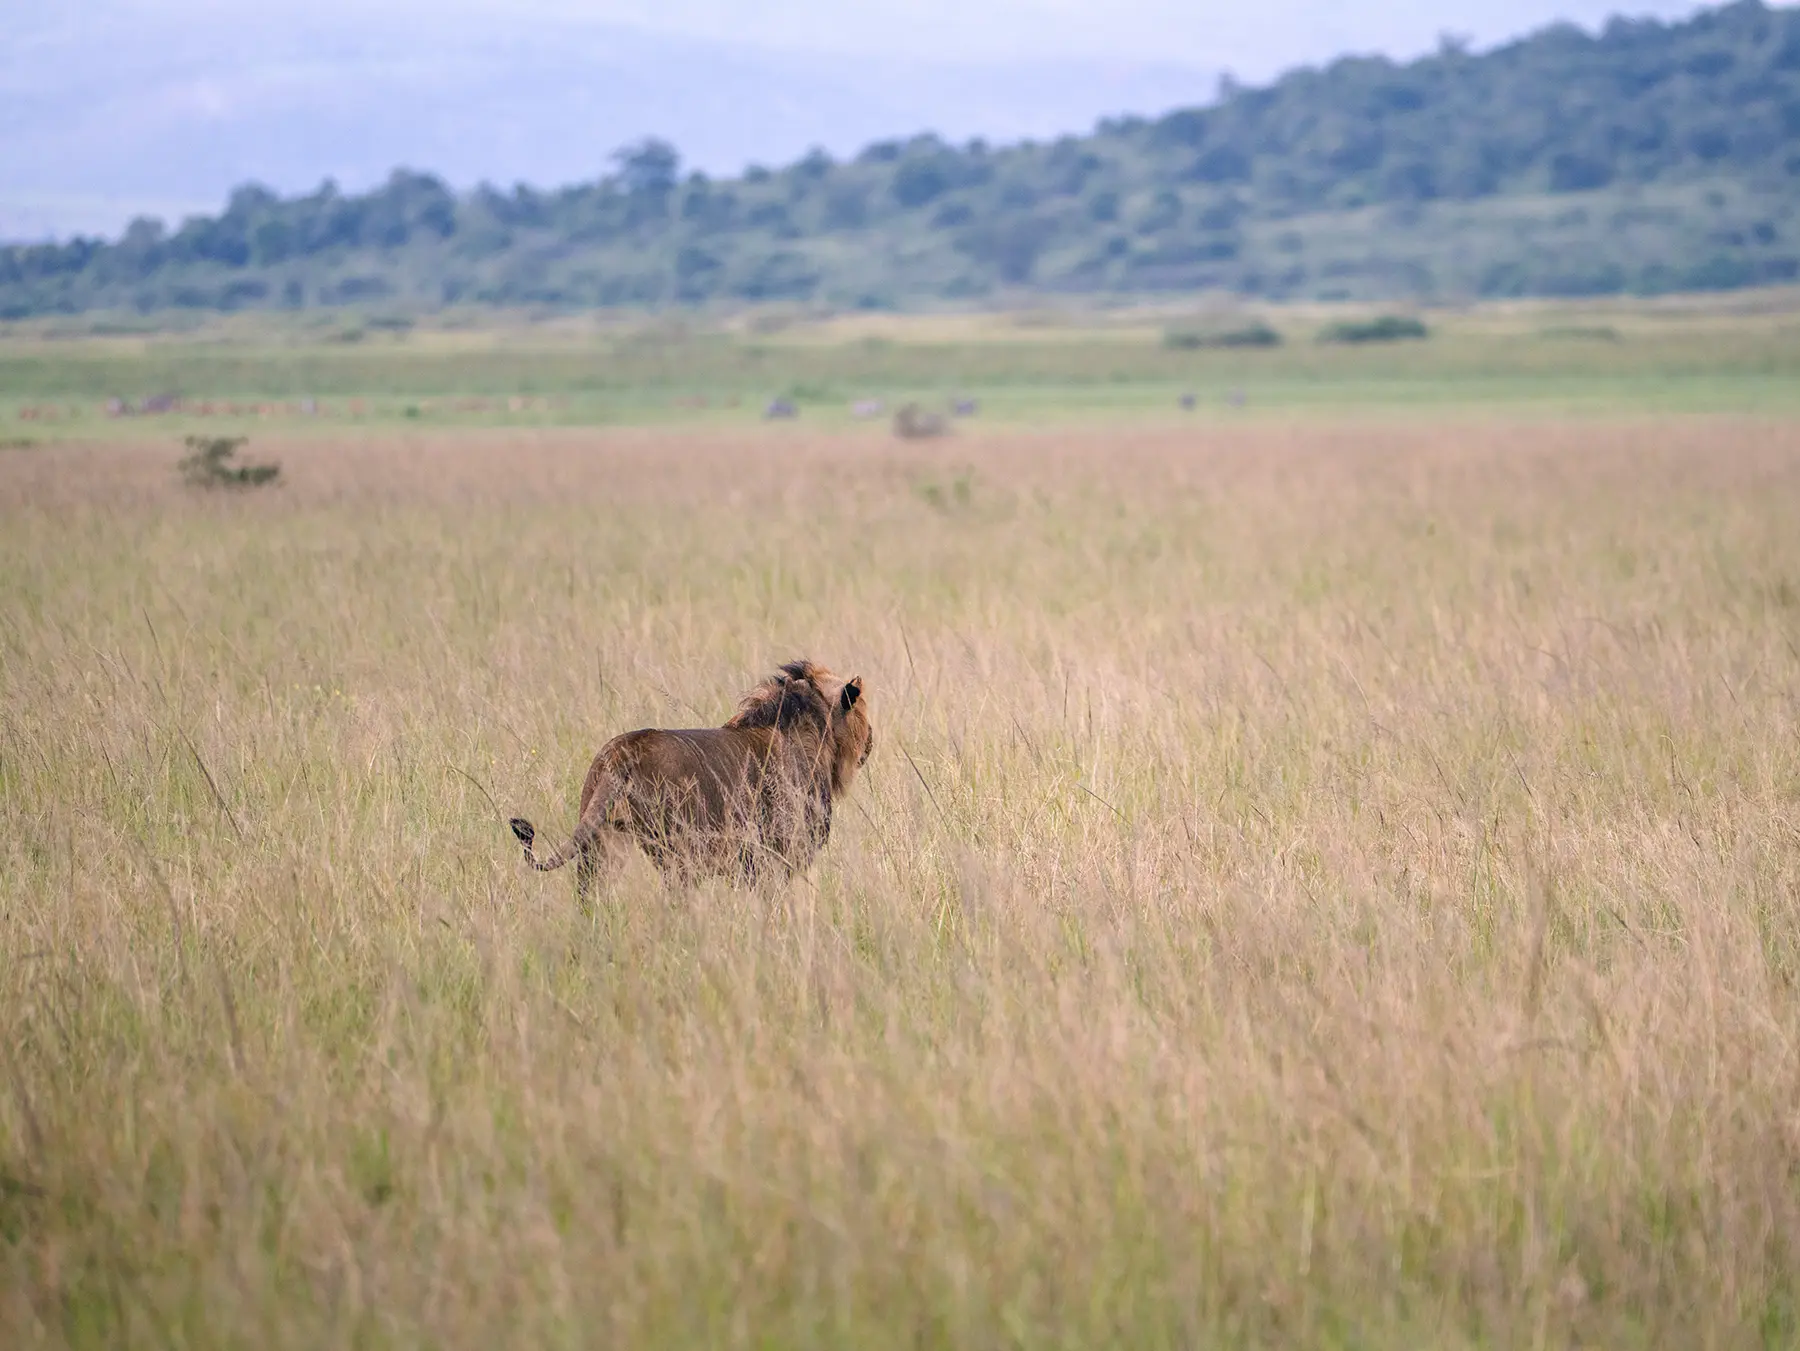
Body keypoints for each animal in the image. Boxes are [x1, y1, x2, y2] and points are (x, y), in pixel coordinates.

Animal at [509, 660, 873, 899]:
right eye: (862, 709)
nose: (871, 740)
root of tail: (623, 752)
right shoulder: (777, 856)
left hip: (603, 843)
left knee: (591, 897)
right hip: (680, 852)